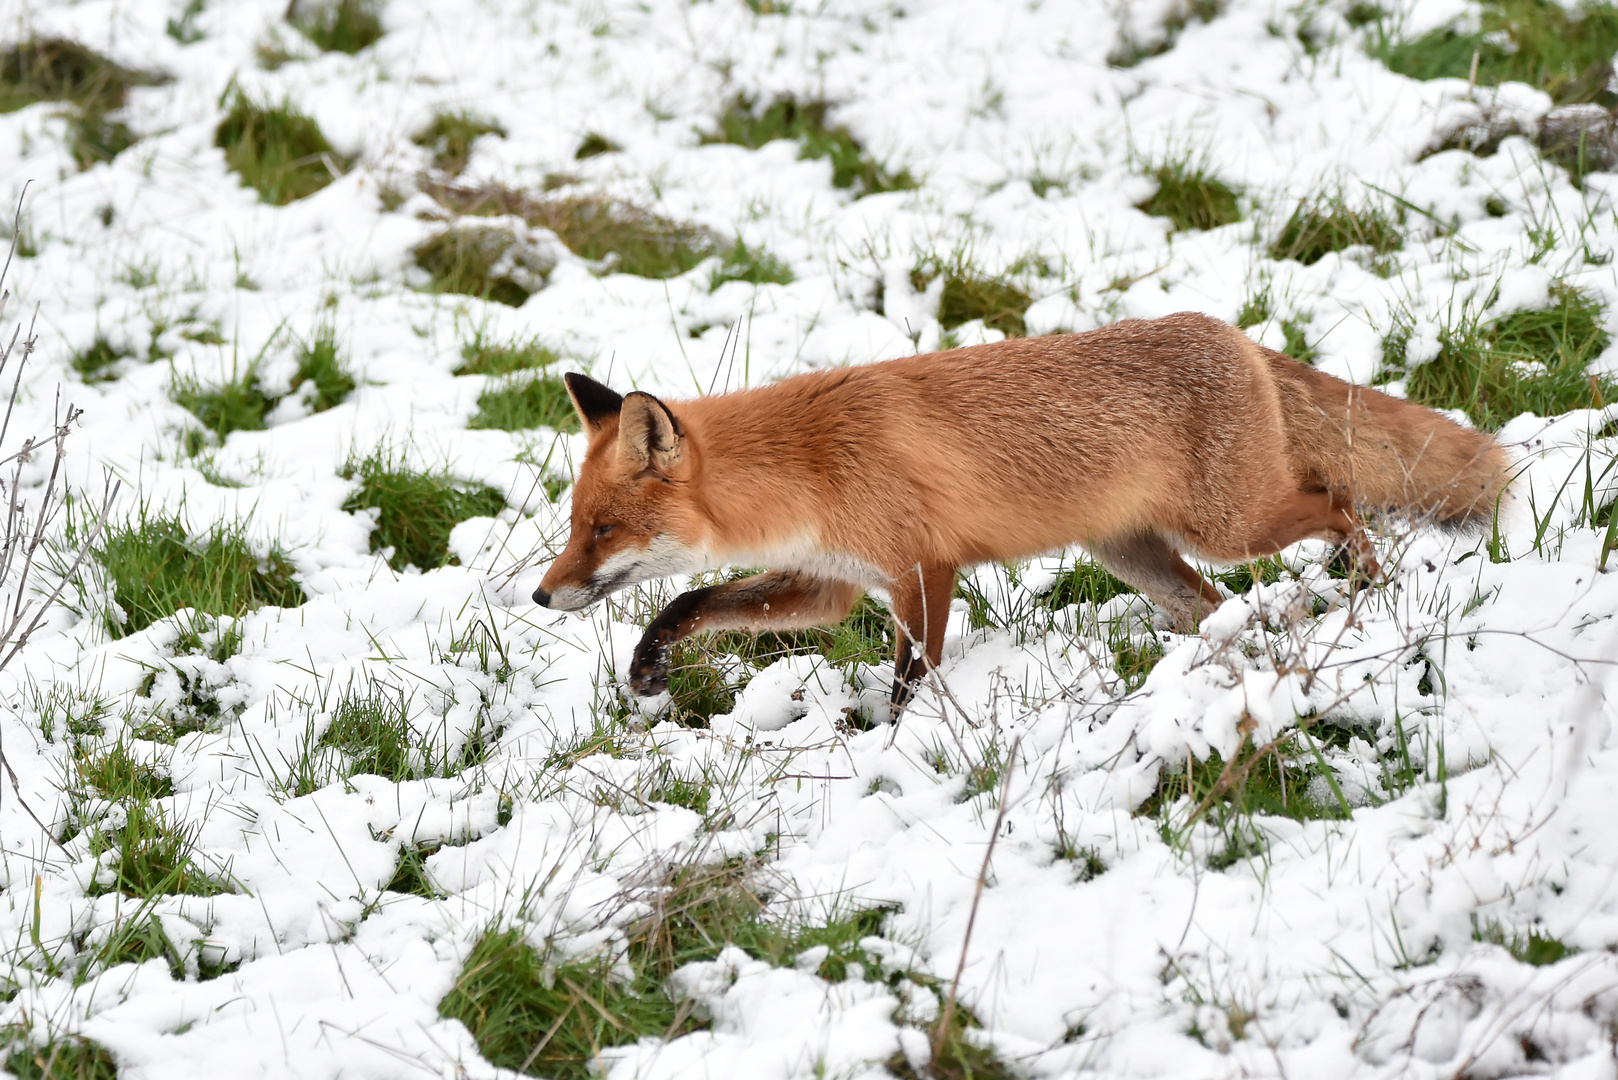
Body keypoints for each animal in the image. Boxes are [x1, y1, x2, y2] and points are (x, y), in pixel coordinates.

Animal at [537, 312, 1507, 709]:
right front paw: (648, 664)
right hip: (1138, 554)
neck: (809, 468)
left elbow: (910, 677)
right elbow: (690, 601)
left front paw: (888, 740)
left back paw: (1364, 580)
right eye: (576, 525)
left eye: (602, 530)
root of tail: (1229, 330)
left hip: (1231, 526)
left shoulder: (922, 568)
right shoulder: (830, 583)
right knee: (1213, 608)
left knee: (1338, 499)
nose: (542, 596)